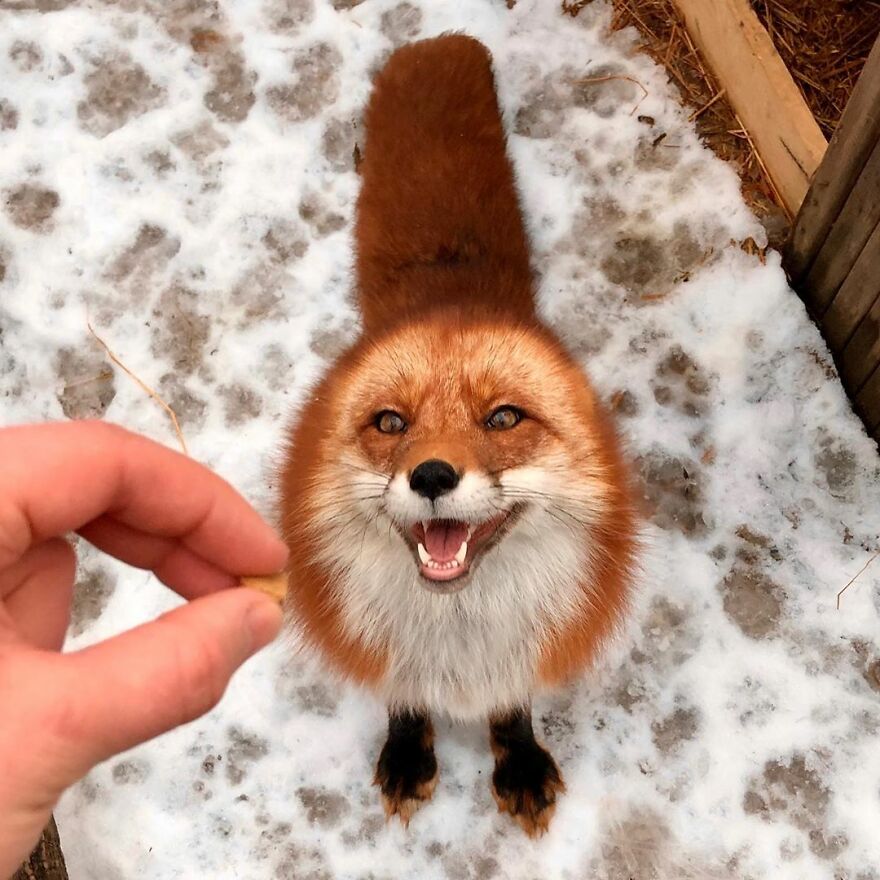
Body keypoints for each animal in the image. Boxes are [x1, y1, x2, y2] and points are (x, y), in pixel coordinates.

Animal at [280, 33, 638, 836]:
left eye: (503, 418)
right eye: (390, 423)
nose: (433, 476)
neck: (460, 637)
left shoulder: (521, 653)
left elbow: (512, 710)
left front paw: (520, 761)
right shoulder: (390, 652)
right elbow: (406, 702)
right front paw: (409, 753)